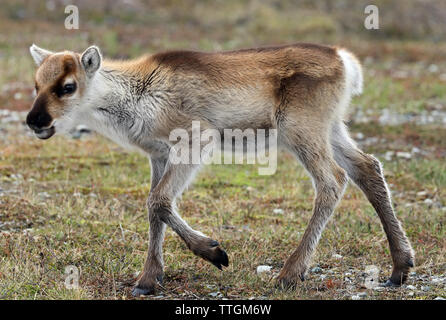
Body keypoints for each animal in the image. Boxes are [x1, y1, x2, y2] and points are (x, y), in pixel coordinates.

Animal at [26, 43, 412, 296]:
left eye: (68, 86)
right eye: (36, 83)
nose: (34, 120)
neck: (132, 98)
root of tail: (344, 60)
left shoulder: (196, 138)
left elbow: (159, 202)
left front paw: (214, 252)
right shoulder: (158, 155)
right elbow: (154, 208)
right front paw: (148, 279)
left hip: (301, 129)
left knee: (333, 180)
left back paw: (290, 274)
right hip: (331, 127)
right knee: (368, 167)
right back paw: (399, 267)